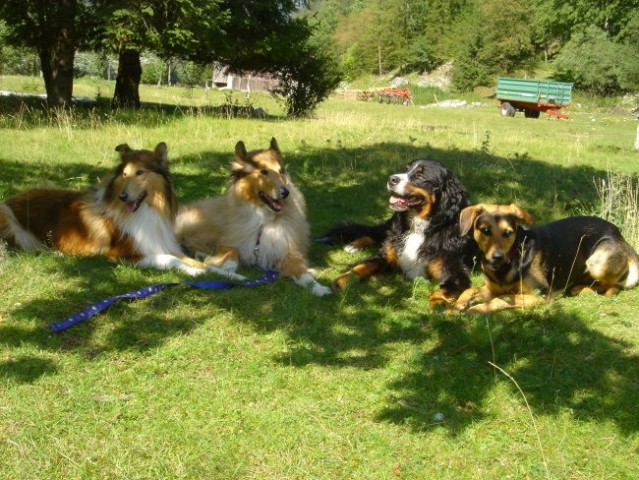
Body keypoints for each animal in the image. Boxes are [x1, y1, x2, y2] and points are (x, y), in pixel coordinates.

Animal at [0, 142, 208, 276]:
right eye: (124, 174)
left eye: (140, 172)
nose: (122, 197)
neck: (147, 210)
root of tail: (11, 200)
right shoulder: (124, 254)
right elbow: (170, 259)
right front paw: (194, 271)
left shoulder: (160, 243)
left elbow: (185, 256)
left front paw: (207, 266)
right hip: (8, 217)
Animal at [178, 138, 332, 296]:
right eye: (264, 172)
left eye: (280, 171)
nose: (286, 192)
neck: (263, 218)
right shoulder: (230, 241)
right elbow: (231, 255)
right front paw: (226, 269)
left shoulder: (287, 252)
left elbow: (304, 274)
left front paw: (318, 287)